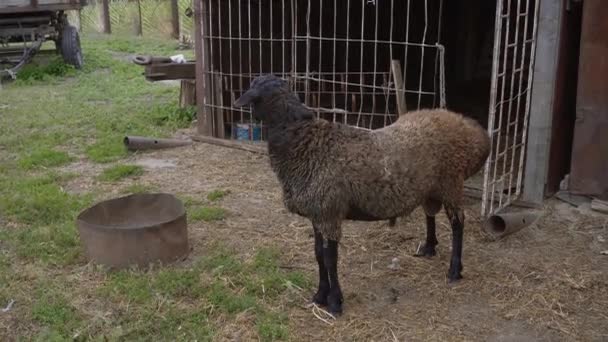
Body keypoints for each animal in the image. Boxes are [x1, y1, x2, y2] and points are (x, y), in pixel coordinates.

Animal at [235, 75, 492, 316]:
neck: (303, 140)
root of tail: (473, 129)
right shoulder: (317, 213)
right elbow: (318, 255)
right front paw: (319, 295)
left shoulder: (329, 212)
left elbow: (330, 259)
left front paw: (335, 302)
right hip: (432, 188)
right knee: (431, 214)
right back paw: (429, 248)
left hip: (451, 183)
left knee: (458, 224)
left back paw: (455, 270)